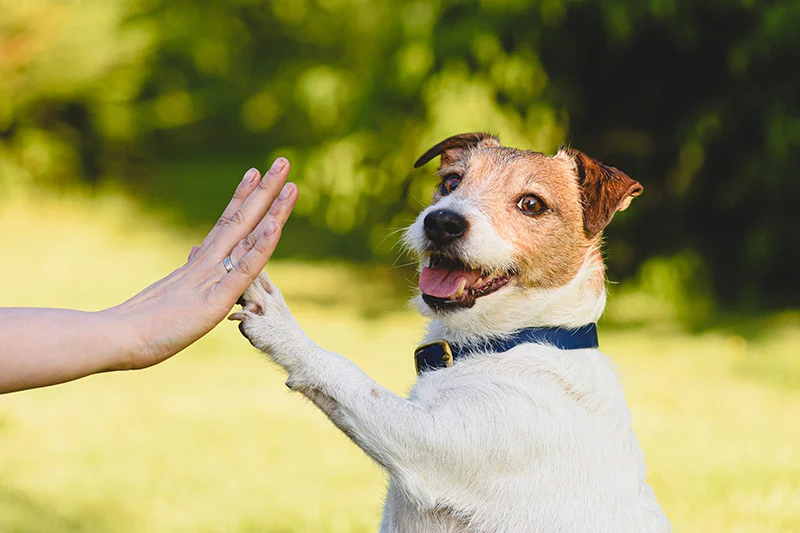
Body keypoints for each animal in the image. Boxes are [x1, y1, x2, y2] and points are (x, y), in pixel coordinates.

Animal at [230, 131, 668, 528]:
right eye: (452, 182)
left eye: (531, 204)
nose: (441, 222)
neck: (510, 342)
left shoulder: (427, 443)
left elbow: (343, 372)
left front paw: (276, 319)